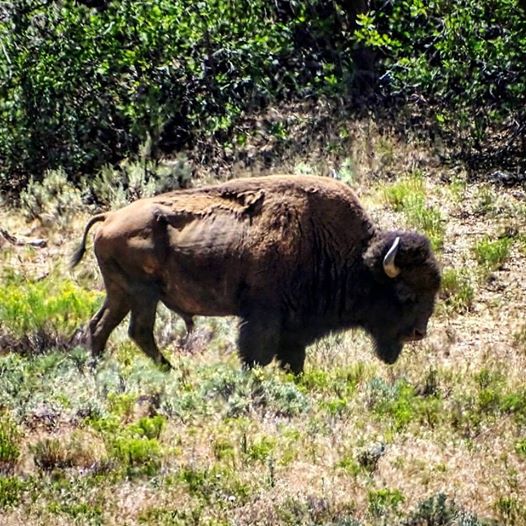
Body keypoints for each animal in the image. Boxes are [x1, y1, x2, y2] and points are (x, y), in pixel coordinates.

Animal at [70, 175, 442, 374]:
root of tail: (109, 217)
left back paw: (98, 370)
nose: (418, 333)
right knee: (138, 331)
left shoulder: (295, 330)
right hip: (142, 295)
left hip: (120, 293)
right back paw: (171, 372)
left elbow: (293, 361)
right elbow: (255, 355)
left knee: (100, 326)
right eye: (405, 293)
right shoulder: (262, 318)